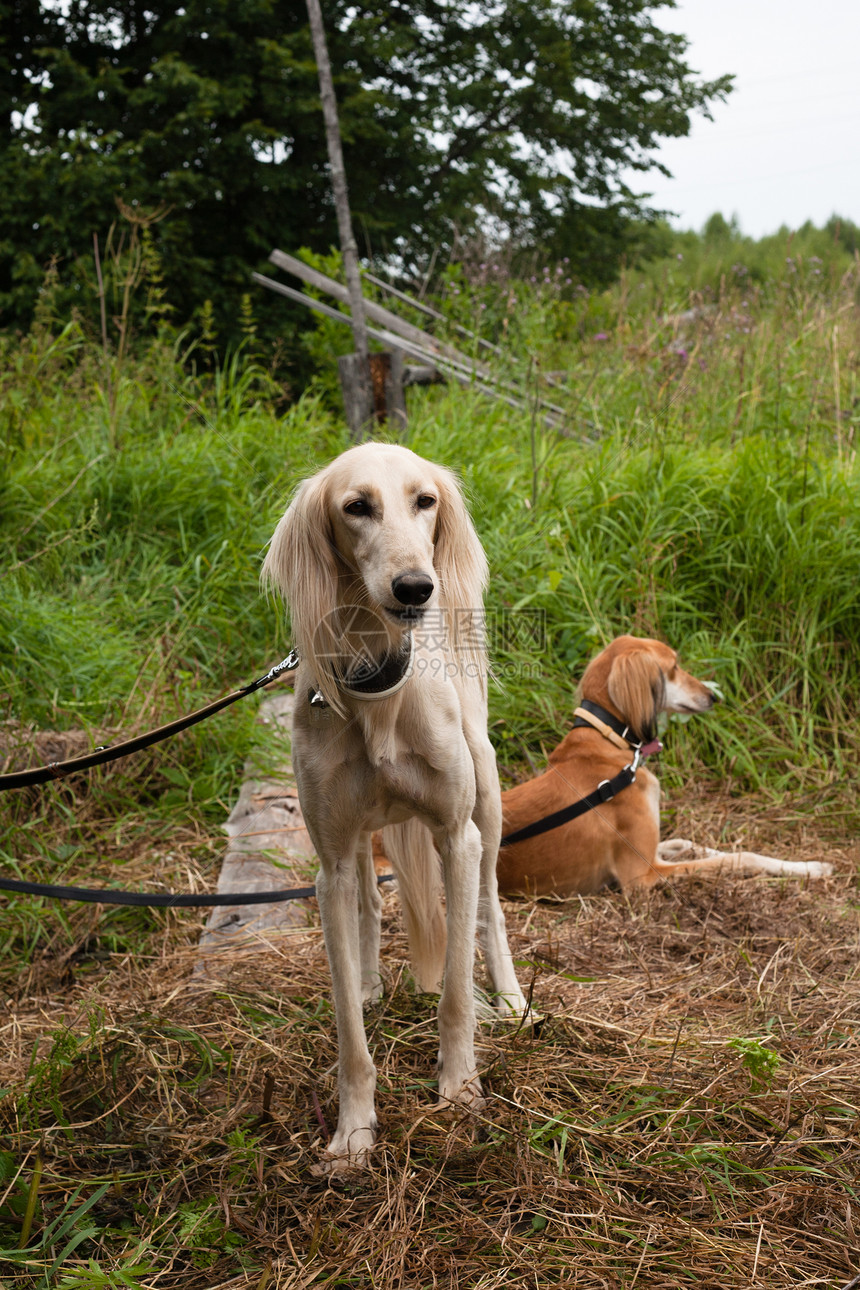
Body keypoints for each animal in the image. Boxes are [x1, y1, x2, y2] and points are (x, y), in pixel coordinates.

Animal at [265, 441, 528, 1171]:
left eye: (425, 500)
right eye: (356, 506)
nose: (415, 588)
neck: (377, 686)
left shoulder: (457, 836)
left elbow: (456, 993)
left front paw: (460, 1090)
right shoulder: (327, 863)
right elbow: (349, 1031)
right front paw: (353, 1133)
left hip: (488, 798)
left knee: (491, 909)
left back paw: (512, 997)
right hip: (357, 838)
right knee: (368, 904)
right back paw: (369, 978)